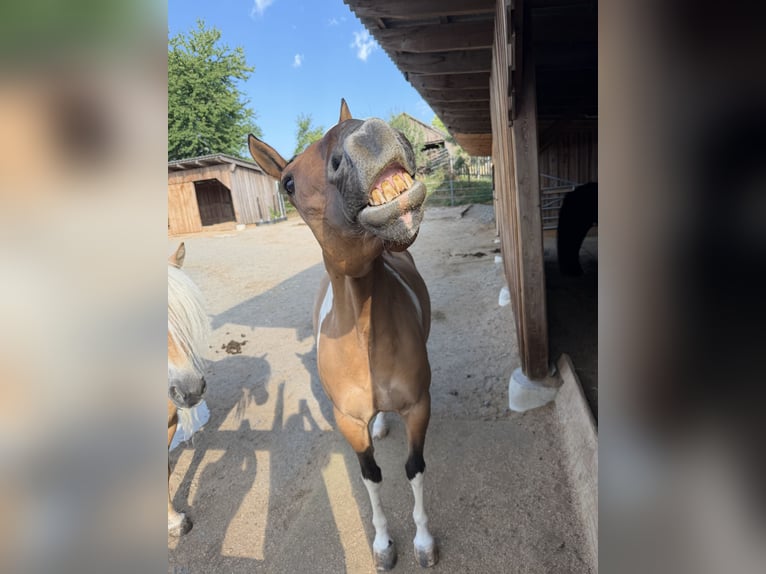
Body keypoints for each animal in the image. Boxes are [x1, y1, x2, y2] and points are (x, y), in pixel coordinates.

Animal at [249, 100, 437, 570]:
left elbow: (414, 469)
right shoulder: (348, 424)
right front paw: (384, 545)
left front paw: (423, 541)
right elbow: (370, 477)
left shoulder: (419, 407)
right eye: (288, 183)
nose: (368, 136)